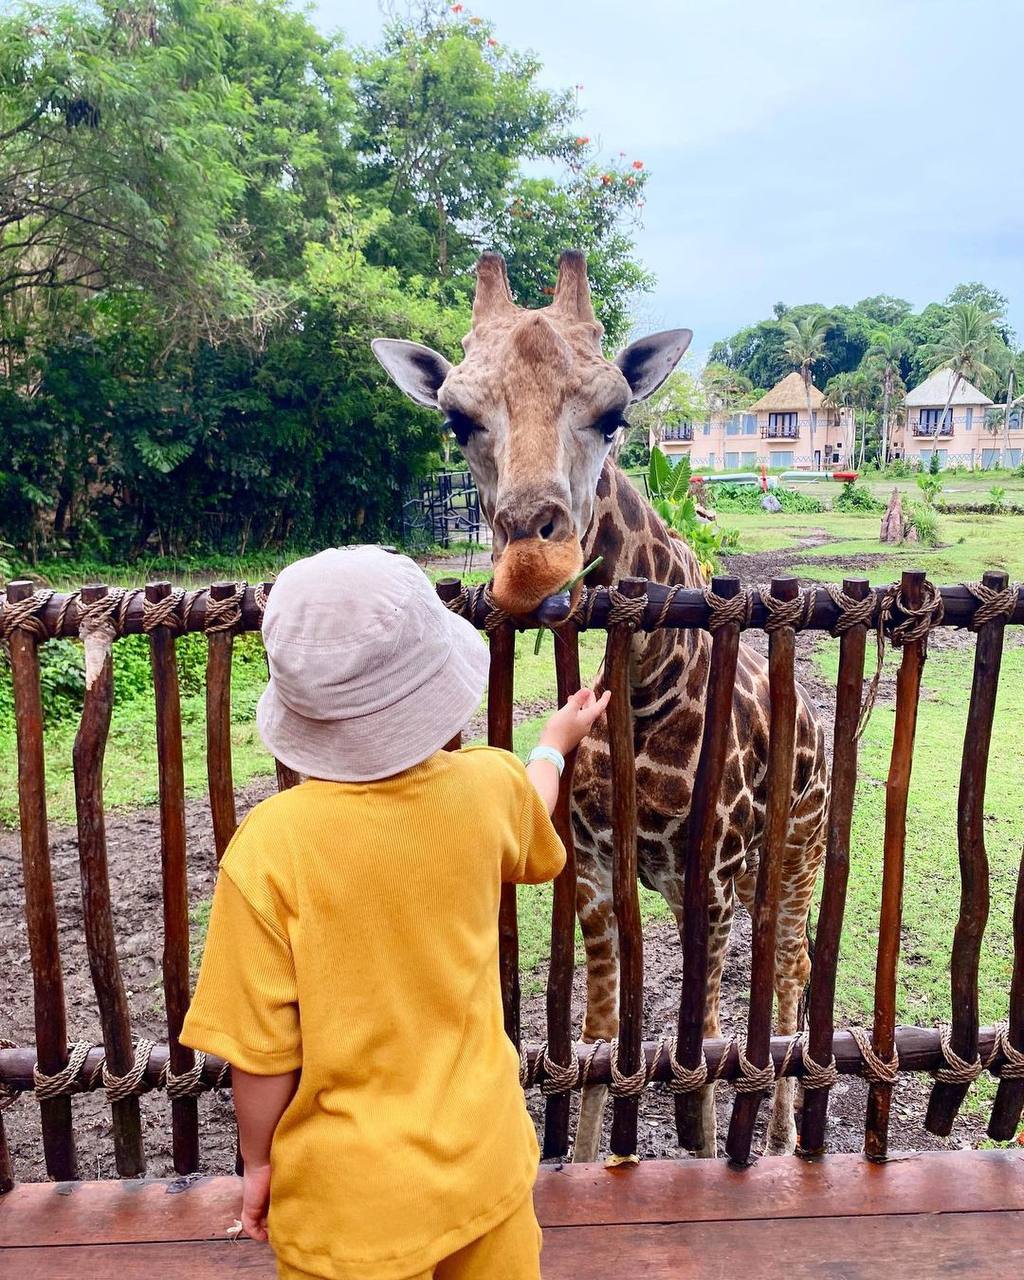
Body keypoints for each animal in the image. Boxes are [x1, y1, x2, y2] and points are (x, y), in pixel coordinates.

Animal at [371, 249, 829, 1162]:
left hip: (800, 848)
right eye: (456, 421)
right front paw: (592, 1162)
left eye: (615, 415)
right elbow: (597, 1041)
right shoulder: (591, 870)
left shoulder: (708, 879)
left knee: (792, 970)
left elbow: (703, 1051)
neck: (653, 685)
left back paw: (785, 1140)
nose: (532, 563)